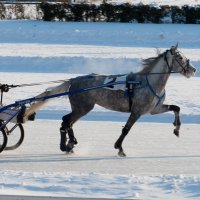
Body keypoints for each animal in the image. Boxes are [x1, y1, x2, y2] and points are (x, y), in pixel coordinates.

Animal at [27, 44, 197, 157]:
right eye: (180, 57)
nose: (193, 70)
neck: (148, 82)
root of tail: (74, 80)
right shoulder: (137, 111)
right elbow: (126, 129)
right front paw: (119, 148)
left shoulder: (154, 109)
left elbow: (176, 108)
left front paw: (176, 129)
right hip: (82, 107)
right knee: (66, 121)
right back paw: (67, 145)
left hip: (81, 108)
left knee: (67, 122)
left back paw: (70, 144)